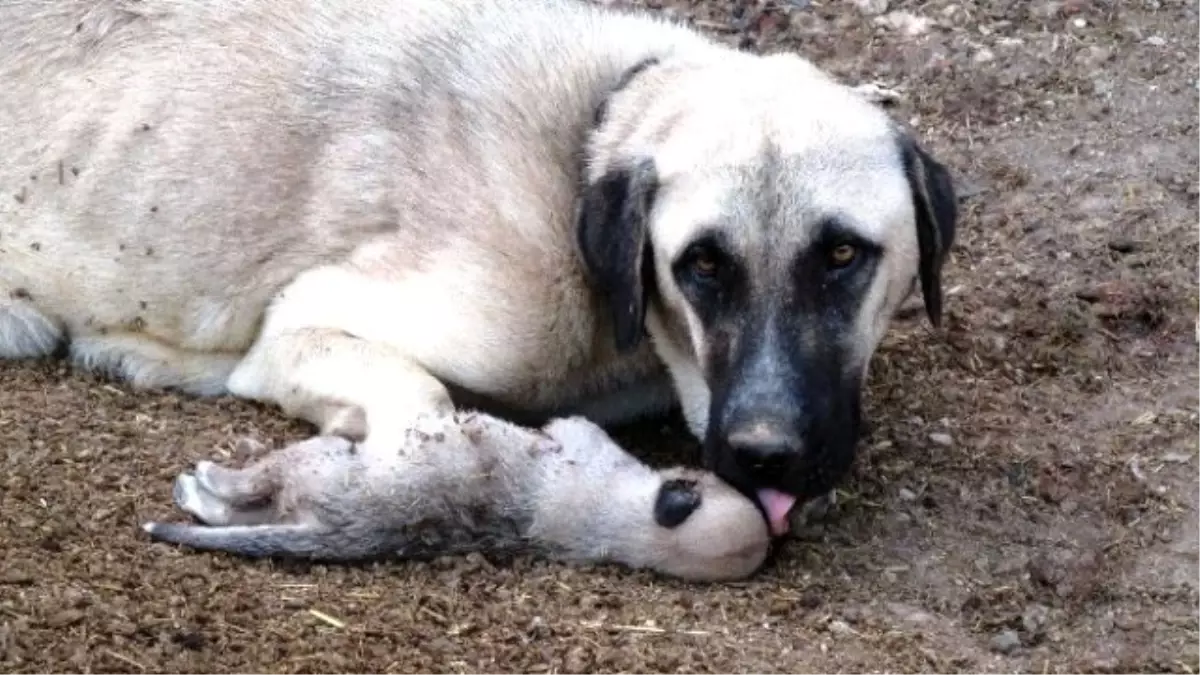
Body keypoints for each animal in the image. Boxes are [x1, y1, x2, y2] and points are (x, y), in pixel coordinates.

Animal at [0, 0, 955, 535]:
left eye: (843, 254)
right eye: (704, 264)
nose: (767, 456)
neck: (585, 141)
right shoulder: (303, 327)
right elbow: (422, 405)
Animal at [145, 410, 768, 578]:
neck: (625, 524)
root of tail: (337, 532)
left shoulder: (585, 442)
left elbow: (572, 427)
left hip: (317, 462)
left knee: (245, 489)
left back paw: (199, 481)